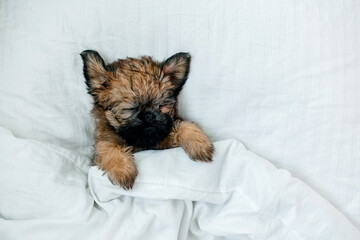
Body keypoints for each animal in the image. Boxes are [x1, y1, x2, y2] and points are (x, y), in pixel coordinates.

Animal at [81, 50, 214, 189]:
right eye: (131, 108)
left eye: (161, 105)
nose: (149, 115)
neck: (142, 141)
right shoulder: (105, 139)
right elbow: (106, 147)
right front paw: (122, 169)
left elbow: (184, 125)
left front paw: (200, 144)